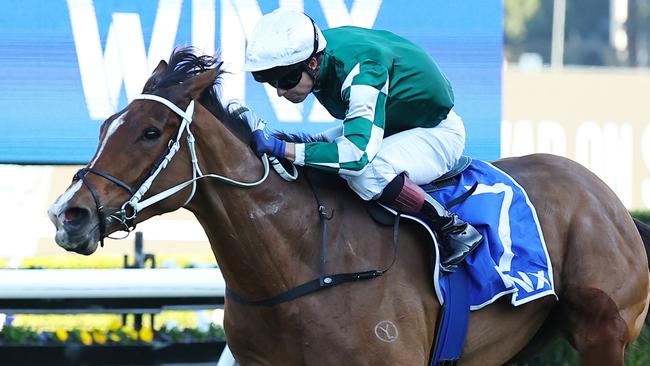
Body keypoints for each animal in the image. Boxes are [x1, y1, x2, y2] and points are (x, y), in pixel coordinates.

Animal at [49, 48, 648, 364]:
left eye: (150, 132)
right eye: (105, 128)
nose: (67, 215)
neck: (298, 266)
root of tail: (611, 202)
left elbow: (361, 154)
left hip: (602, 333)